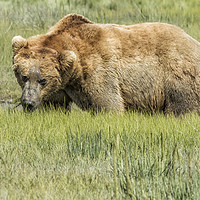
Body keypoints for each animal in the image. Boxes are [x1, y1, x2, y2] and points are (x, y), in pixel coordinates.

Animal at [11, 13, 200, 114]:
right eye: (24, 76)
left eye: (43, 80)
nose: (28, 103)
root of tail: (194, 41)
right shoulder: (60, 85)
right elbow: (53, 106)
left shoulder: (99, 72)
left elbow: (108, 104)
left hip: (176, 75)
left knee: (181, 107)